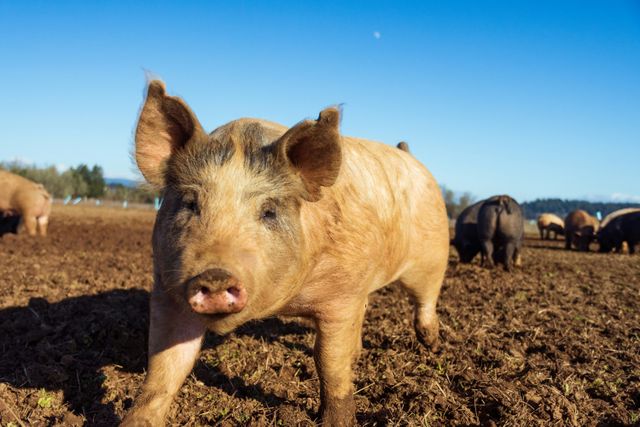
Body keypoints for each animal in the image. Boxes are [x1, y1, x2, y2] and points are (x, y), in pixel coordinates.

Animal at [121, 81, 450, 427]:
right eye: (190, 203)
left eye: (269, 211)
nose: (215, 274)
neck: (284, 304)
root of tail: (408, 154)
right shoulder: (167, 289)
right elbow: (165, 368)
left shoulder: (341, 296)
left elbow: (328, 363)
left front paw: (335, 421)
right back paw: (360, 354)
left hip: (433, 254)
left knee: (425, 299)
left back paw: (432, 345)